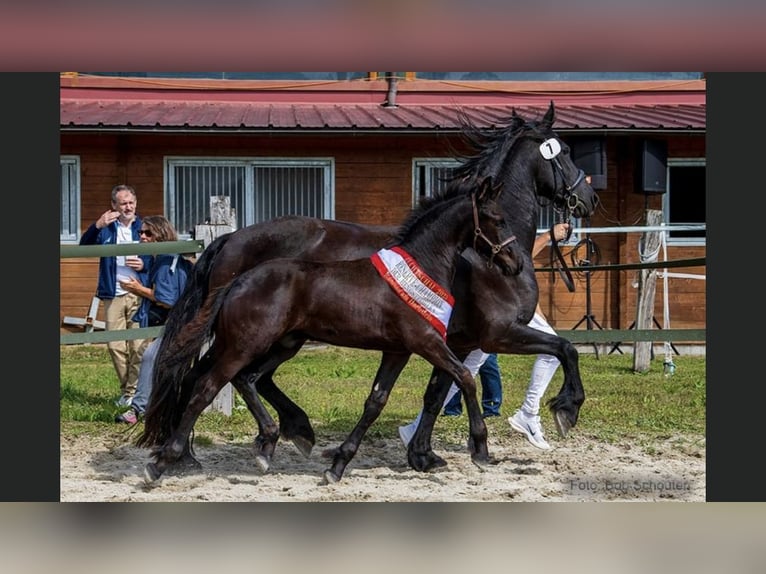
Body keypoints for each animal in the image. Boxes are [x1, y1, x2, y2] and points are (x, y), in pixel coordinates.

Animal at [143, 181, 523, 484]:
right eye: (498, 219)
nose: (516, 263)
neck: (423, 266)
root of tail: (238, 280)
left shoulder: (398, 350)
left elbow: (375, 401)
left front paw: (337, 465)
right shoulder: (427, 342)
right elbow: (466, 378)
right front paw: (481, 450)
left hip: (280, 344)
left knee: (246, 379)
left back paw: (269, 443)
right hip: (243, 345)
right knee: (206, 387)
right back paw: (163, 463)